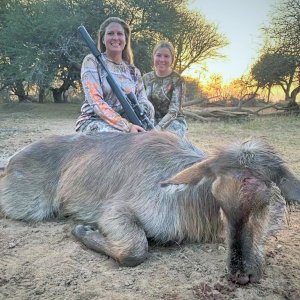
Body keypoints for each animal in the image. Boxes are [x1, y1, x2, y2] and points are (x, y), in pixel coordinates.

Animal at [0, 132, 298, 284]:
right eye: (220, 203)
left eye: (264, 202)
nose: (240, 274)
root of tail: (14, 158)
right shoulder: (116, 211)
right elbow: (135, 250)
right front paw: (81, 229)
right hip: (28, 208)